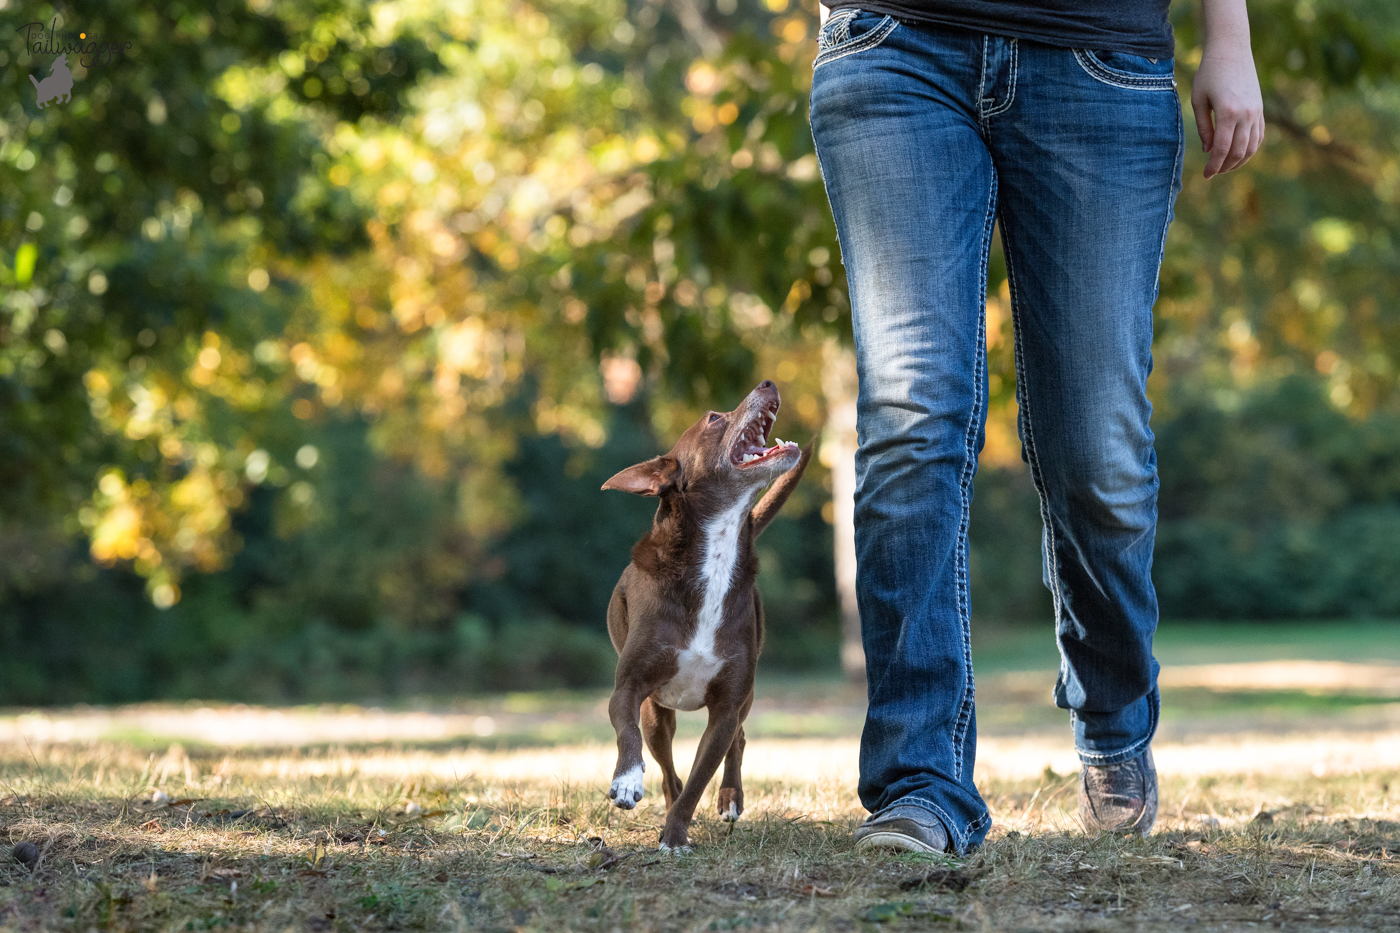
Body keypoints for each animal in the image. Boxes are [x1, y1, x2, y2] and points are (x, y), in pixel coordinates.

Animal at [599, 378, 812, 851]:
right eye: (714, 418)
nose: (768, 382)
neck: (716, 556)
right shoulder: (629, 687)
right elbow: (627, 733)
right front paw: (627, 781)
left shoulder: (727, 706)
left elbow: (701, 778)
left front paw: (676, 835)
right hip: (657, 713)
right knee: (664, 764)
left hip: (744, 697)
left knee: (738, 740)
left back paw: (729, 798)